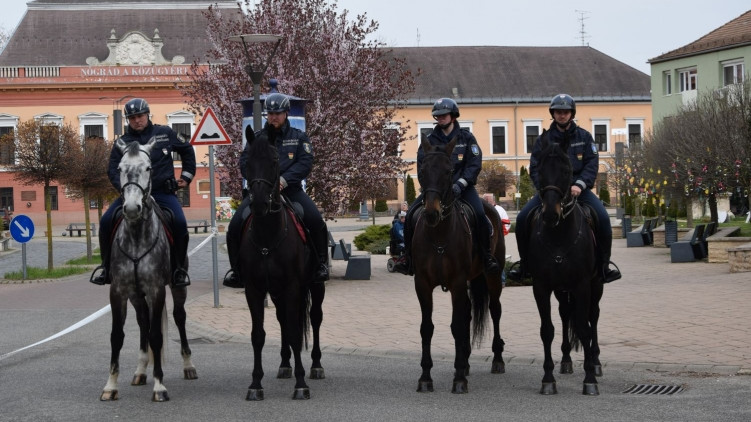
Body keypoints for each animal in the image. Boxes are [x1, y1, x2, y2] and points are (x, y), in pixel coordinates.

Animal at [101, 136, 198, 402]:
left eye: (148, 168)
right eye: (120, 168)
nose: (132, 208)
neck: (136, 237)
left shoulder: (156, 290)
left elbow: (157, 336)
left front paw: (159, 386)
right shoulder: (118, 292)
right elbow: (117, 336)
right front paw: (111, 386)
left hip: (177, 288)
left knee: (179, 317)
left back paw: (188, 366)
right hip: (136, 295)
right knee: (143, 321)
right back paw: (141, 370)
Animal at [239, 127, 324, 400]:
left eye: (275, 162)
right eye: (248, 163)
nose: (259, 203)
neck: (268, 234)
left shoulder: (293, 287)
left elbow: (297, 334)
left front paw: (301, 384)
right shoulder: (254, 289)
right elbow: (258, 335)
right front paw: (255, 384)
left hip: (315, 286)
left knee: (315, 318)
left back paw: (316, 365)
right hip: (276, 293)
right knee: (282, 320)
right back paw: (285, 364)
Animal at [408, 136, 508, 396]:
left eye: (449, 171)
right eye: (422, 171)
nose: (431, 212)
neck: (439, 236)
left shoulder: (457, 283)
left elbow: (456, 326)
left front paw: (459, 378)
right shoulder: (423, 284)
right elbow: (427, 328)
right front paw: (426, 377)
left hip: (492, 278)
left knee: (495, 311)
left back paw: (497, 360)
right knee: (468, 316)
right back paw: (466, 361)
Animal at [528, 129, 604, 396]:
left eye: (566, 169)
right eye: (540, 169)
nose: (551, 213)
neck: (559, 235)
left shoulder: (582, 285)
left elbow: (583, 327)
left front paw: (589, 379)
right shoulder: (541, 286)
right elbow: (547, 330)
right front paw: (548, 378)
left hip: (596, 285)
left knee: (593, 316)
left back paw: (596, 361)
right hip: (562, 289)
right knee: (563, 314)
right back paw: (566, 361)